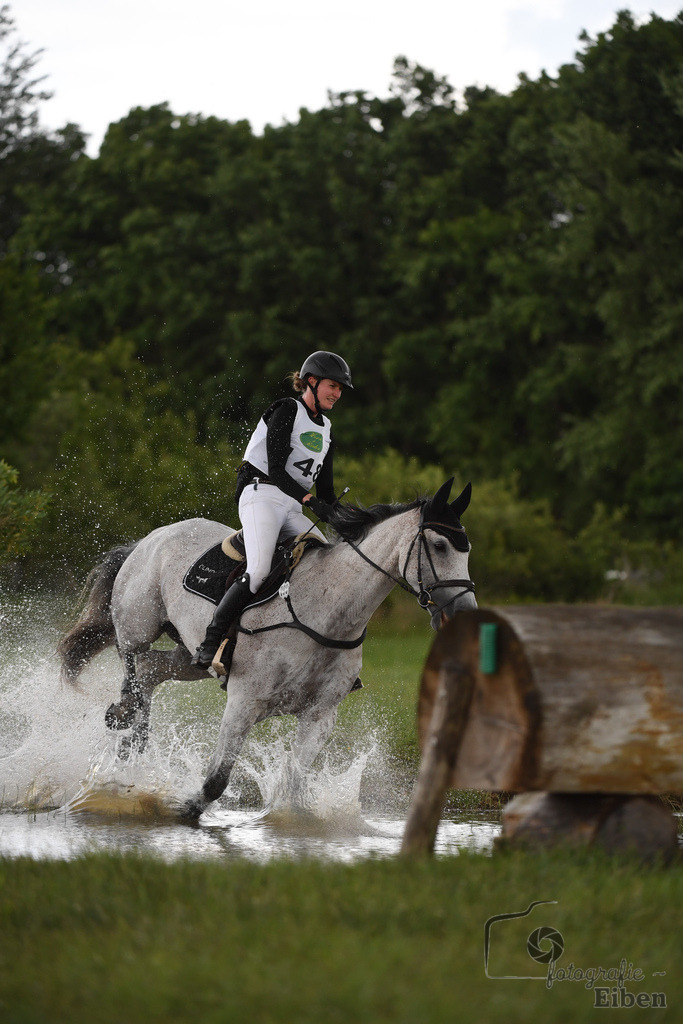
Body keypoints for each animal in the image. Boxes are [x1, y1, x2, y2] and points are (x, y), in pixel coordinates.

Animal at [58, 478, 476, 819]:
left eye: (466, 550)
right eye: (439, 545)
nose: (463, 614)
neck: (326, 612)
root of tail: (151, 537)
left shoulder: (320, 716)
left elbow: (294, 784)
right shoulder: (244, 702)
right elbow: (216, 781)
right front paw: (183, 809)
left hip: (191, 658)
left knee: (149, 672)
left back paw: (132, 741)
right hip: (138, 623)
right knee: (131, 661)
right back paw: (125, 717)